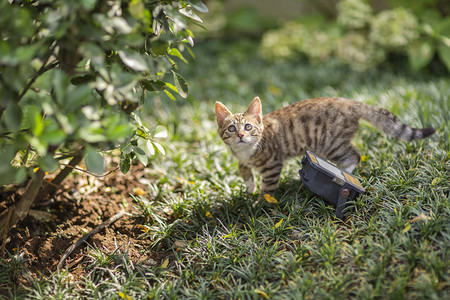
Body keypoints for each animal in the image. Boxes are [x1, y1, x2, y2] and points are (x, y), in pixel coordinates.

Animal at [215, 96, 436, 195]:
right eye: (232, 129)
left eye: (249, 127)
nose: (241, 135)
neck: (245, 150)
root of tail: (349, 102)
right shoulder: (242, 158)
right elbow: (243, 168)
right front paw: (250, 186)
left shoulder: (272, 164)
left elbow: (268, 189)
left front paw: (260, 205)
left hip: (331, 143)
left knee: (354, 155)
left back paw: (343, 173)